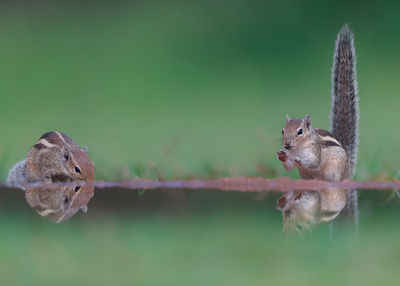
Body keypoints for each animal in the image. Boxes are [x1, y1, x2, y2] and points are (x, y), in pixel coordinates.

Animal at [278, 24, 360, 230]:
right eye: (282, 131)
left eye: (300, 131)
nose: (286, 145)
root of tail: (348, 170)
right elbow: (289, 167)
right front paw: (283, 156)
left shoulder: (315, 151)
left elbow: (313, 163)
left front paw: (297, 158)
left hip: (335, 175)